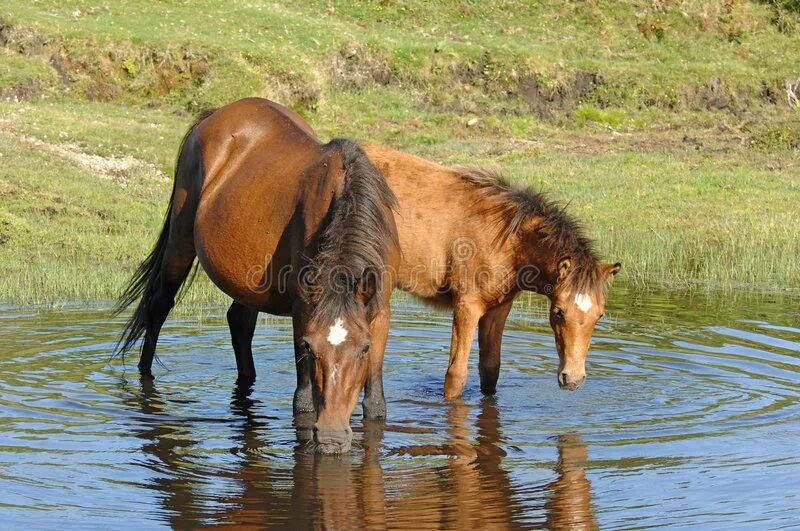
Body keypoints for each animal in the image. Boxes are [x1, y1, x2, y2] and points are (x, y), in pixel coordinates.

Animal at [115, 98, 396, 454]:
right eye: (310, 347)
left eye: (363, 349)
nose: (332, 438)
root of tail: (215, 115)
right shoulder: (303, 310)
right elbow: (304, 403)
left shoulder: (380, 313)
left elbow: (376, 407)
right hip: (180, 241)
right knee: (159, 306)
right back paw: (145, 380)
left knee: (239, 322)